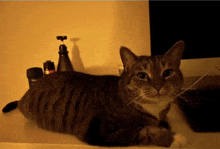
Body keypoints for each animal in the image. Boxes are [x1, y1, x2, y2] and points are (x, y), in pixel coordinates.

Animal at [2, 40, 186, 148]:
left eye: (167, 72)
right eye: (142, 75)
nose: (158, 86)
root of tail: (24, 95)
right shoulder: (98, 131)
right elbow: (143, 131)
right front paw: (172, 138)